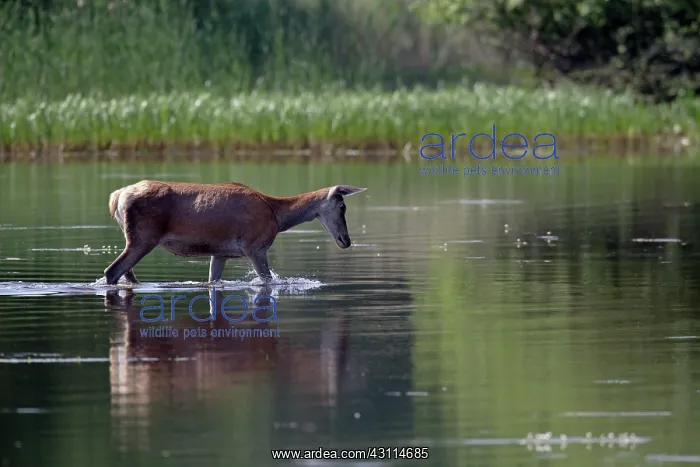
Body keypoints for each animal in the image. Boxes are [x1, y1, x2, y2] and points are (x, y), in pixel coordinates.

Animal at [103, 181, 367, 285]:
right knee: (112, 270)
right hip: (142, 238)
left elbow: (212, 281)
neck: (277, 215)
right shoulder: (255, 246)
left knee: (126, 273)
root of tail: (116, 197)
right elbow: (267, 280)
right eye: (342, 207)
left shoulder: (220, 253)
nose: (346, 240)